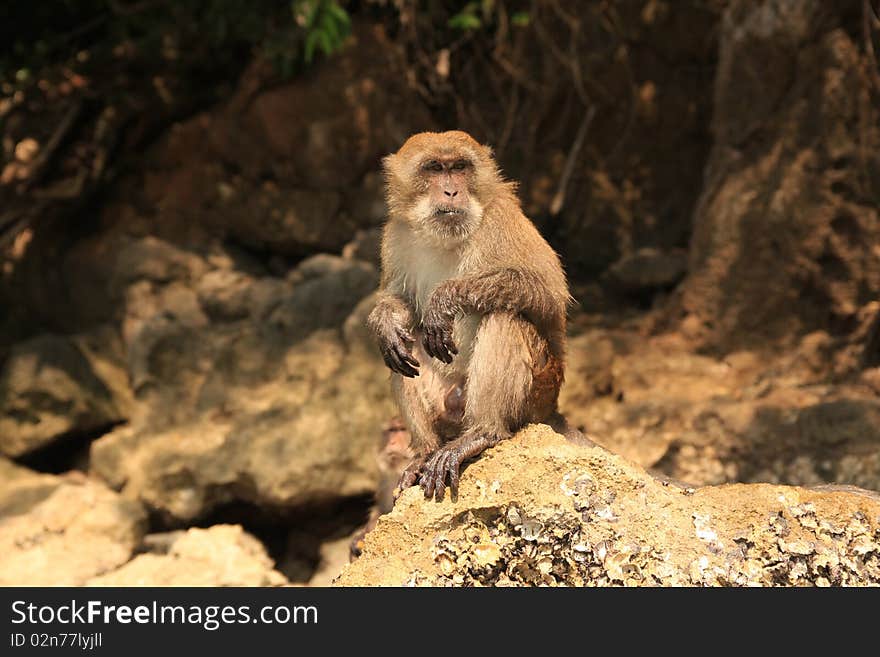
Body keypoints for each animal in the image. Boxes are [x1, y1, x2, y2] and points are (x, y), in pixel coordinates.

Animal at [366, 132, 568, 502]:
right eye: (434, 168)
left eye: (460, 167)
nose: (451, 192)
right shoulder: (396, 235)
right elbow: (399, 301)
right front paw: (386, 322)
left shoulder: (503, 218)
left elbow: (545, 290)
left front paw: (444, 299)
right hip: (447, 408)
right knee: (404, 349)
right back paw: (425, 451)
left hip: (537, 394)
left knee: (503, 316)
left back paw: (483, 432)